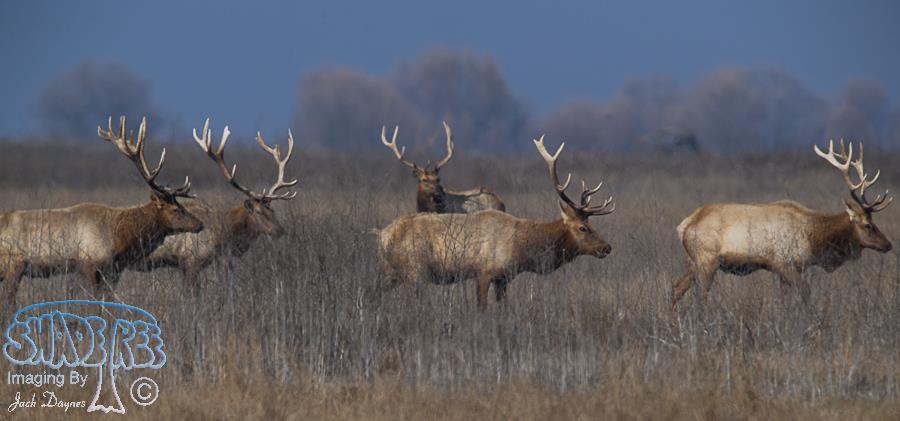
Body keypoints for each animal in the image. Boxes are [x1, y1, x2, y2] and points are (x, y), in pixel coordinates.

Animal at [0, 116, 202, 312]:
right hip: (14, 264)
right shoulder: (89, 263)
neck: (120, 238)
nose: (200, 224)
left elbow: (107, 301)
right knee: (9, 301)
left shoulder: (112, 270)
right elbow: (94, 301)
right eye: (176, 209)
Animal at [375, 135, 614, 308]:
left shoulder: (504, 278)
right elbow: (482, 308)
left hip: (392, 271)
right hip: (414, 270)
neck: (522, 248)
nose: (607, 247)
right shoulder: (484, 271)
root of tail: (382, 236)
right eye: (583, 227)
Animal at [672, 140, 893, 309]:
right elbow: (805, 292)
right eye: (868, 225)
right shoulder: (784, 263)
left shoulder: (785, 271)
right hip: (706, 260)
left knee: (676, 289)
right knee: (700, 296)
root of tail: (684, 226)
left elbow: (785, 300)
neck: (814, 237)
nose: (888, 245)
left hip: (693, 262)